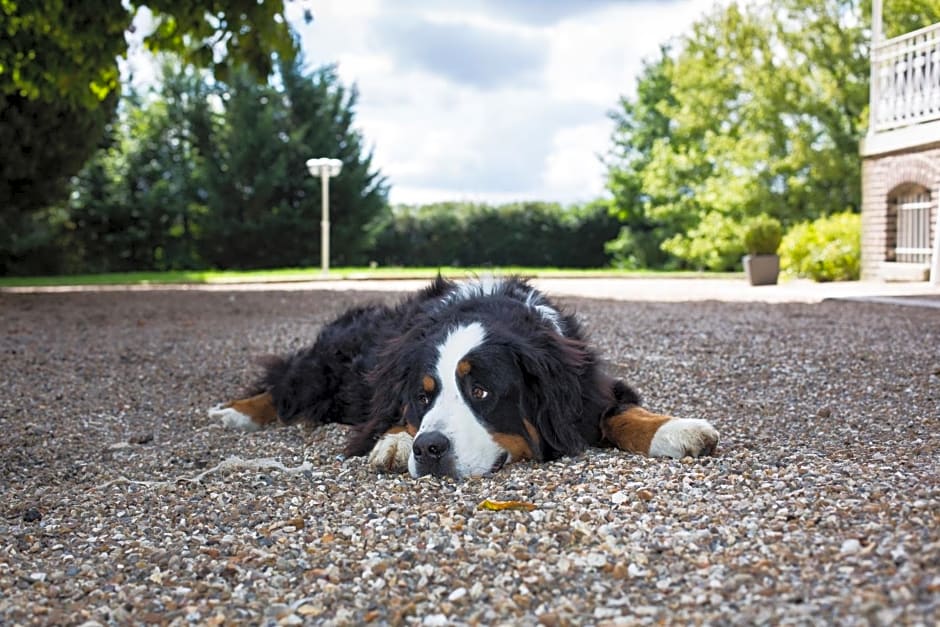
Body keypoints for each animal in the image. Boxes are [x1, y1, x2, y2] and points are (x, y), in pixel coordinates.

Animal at [209, 278, 716, 478]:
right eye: (422, 396)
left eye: (481, 391)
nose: (429, 449)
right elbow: (387, 417)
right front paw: (396, 441)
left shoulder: (585, 383)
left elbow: (619, 411)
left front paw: (675, 429)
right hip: (323, 369)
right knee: (284, 385)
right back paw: (233, 413)